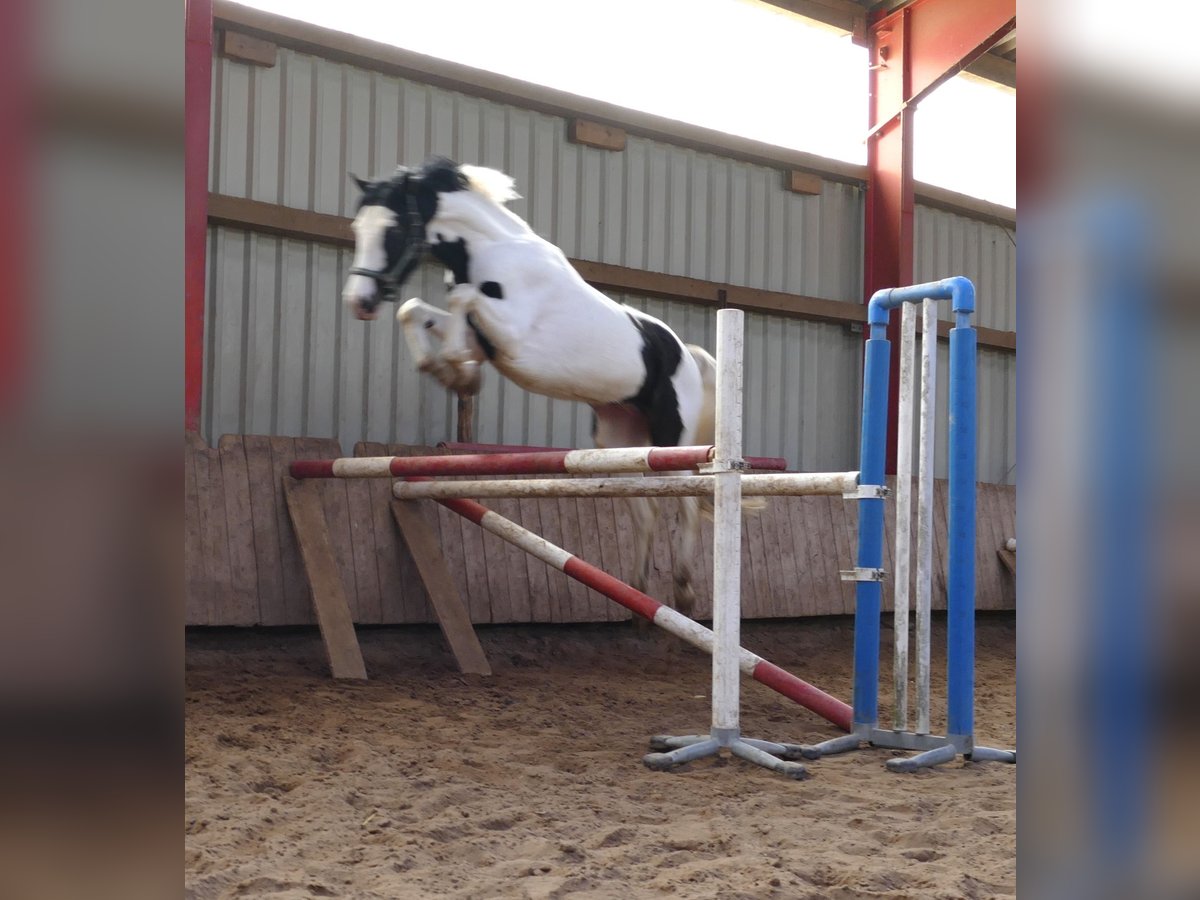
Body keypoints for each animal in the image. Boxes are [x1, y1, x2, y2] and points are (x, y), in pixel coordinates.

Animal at [338, 157, 715, 619]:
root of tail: (687, 356)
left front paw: (458, 374)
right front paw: (452, 372)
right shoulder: (481, 337)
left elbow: (461, 300)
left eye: (392, 231)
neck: (492, 250)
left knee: (688, 502)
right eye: (358, 228)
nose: (359, 302)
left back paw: (684, 592)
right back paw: (639, 597)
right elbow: (415, 311)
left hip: (668, 442)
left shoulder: (511, 336)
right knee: (646, 511)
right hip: (617, 440)